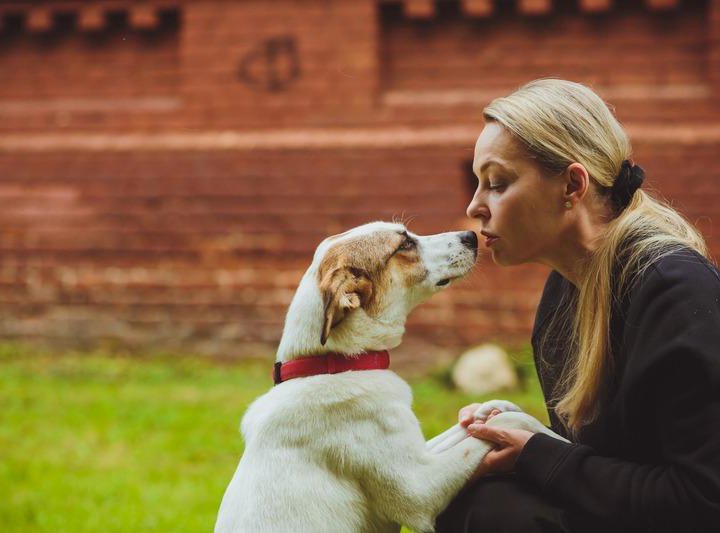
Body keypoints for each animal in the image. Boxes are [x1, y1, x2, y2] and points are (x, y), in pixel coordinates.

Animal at [217, 222, 564, 532]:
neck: (334, 365)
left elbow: (476, 423)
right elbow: (502, 427)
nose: (471, 235)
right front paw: (547, 438)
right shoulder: (419, 489)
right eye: (404, 244)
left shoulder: (419, 454)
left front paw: (490, 410)